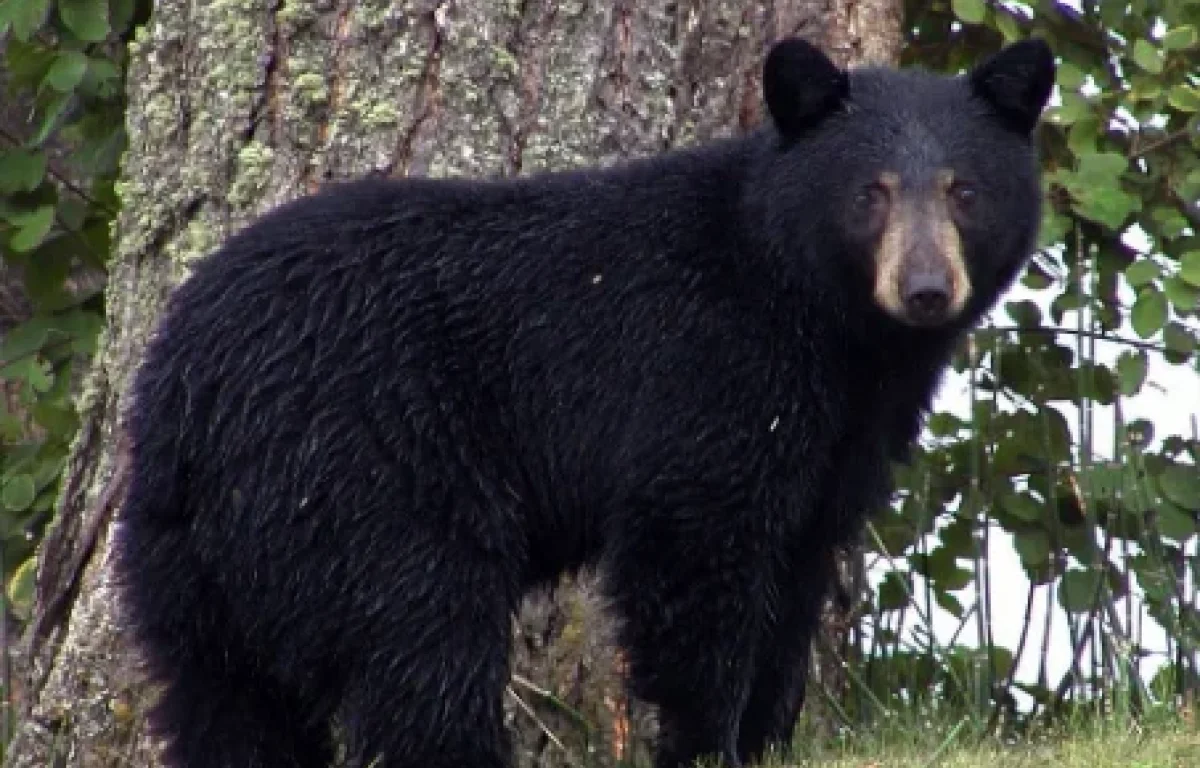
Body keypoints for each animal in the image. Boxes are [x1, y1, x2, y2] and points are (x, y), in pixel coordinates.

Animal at [114, 36, 1051, 768]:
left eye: (965, 190)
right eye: (872, 192)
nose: (926, 290)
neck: (824, 321)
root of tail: (186, 389)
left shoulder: (841, 436)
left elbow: (797, 572)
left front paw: (769, 738)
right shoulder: (709, 372)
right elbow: (695, 555)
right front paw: (707, 743)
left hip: (189, 557)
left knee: (223, 698)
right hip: (365, 475)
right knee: (422, 642)